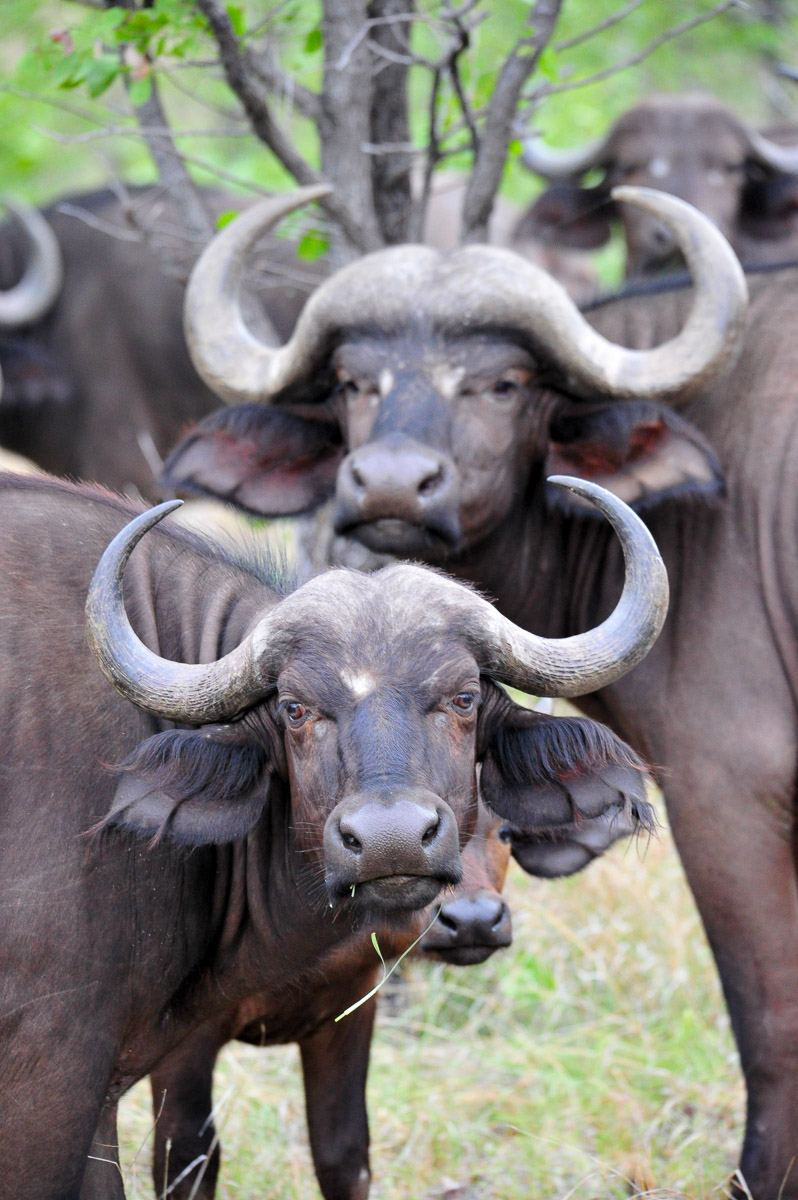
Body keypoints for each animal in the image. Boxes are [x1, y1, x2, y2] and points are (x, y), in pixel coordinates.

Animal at [148, 800, 513, 1200]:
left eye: (505, 832)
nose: (474, 919)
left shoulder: (349, 1013)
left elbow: (343, 1154)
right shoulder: (181, 1045)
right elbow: (186, 1160)